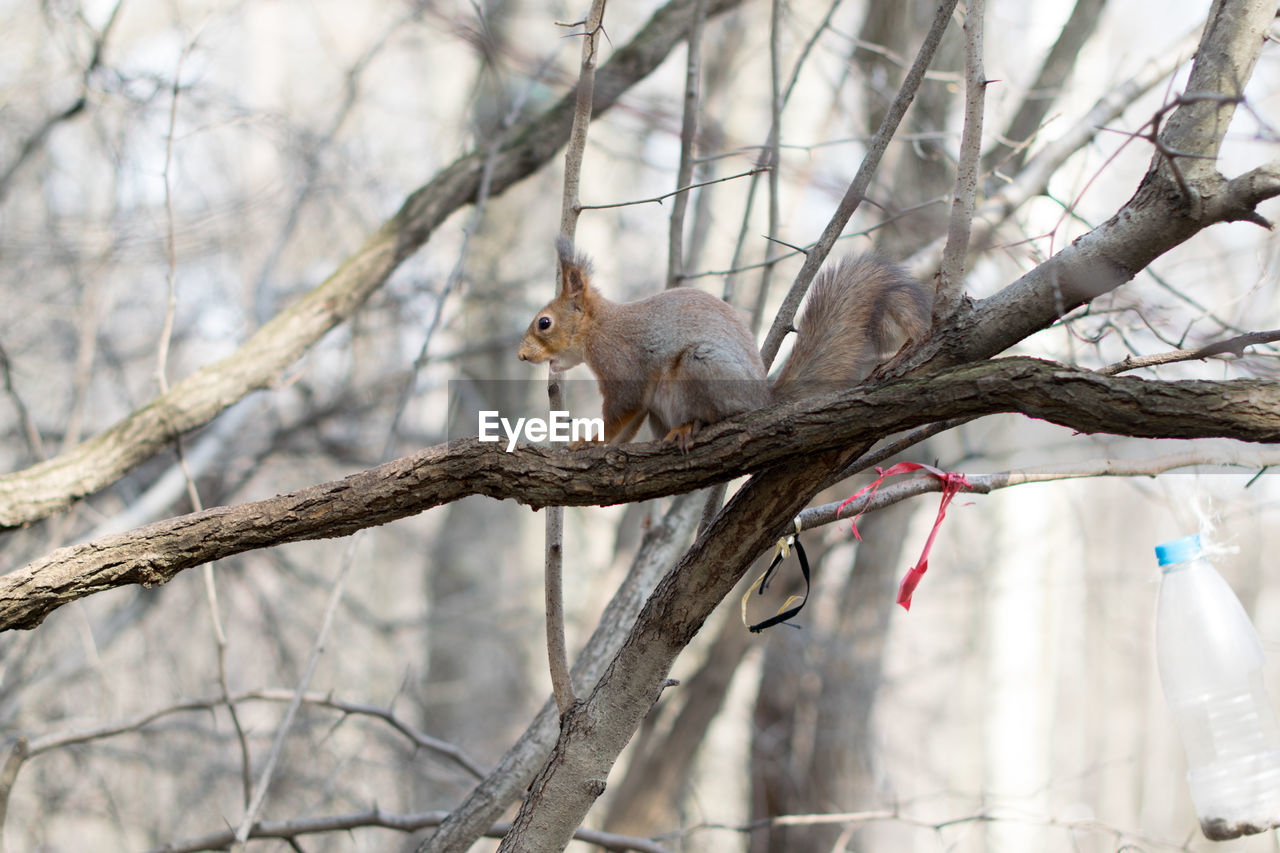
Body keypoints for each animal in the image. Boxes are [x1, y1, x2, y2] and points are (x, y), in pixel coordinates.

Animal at [517, 236, 931, 448]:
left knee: (722, 414)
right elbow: (629, 425)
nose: (521, 356)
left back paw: (691, 427)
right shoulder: (638, 399)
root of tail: (763, 398)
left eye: (544, 323)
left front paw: (591, 441)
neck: (599, 328)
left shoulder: (623, 366)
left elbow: (620, 410)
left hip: (703, 366)